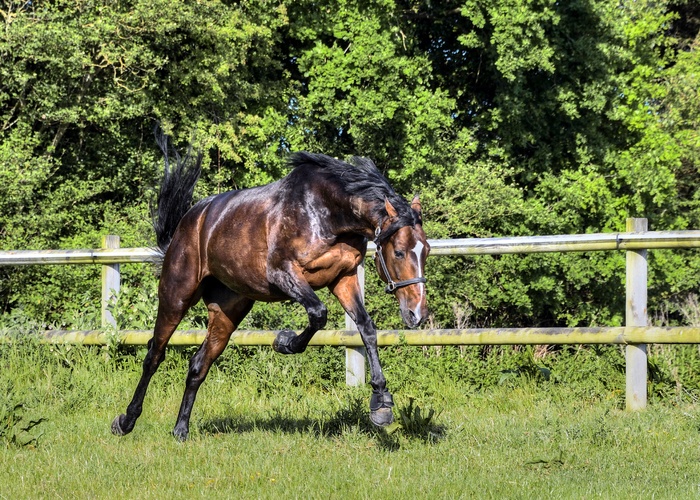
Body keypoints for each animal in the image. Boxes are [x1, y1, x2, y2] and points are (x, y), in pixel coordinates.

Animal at [111, 138, 430, 442]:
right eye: (399, 252)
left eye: (425, 250)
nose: (417, 314)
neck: (327, 213)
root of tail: (189, 223)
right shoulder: (283, 273)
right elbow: (318, 313)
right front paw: (284, 342)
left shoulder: (343, 278)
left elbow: (366, 328)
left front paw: (381, 404)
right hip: (176, 296)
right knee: (154, 354)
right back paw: (125, 421)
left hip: (228, 310)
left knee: (198, 365)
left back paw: (180, 429)